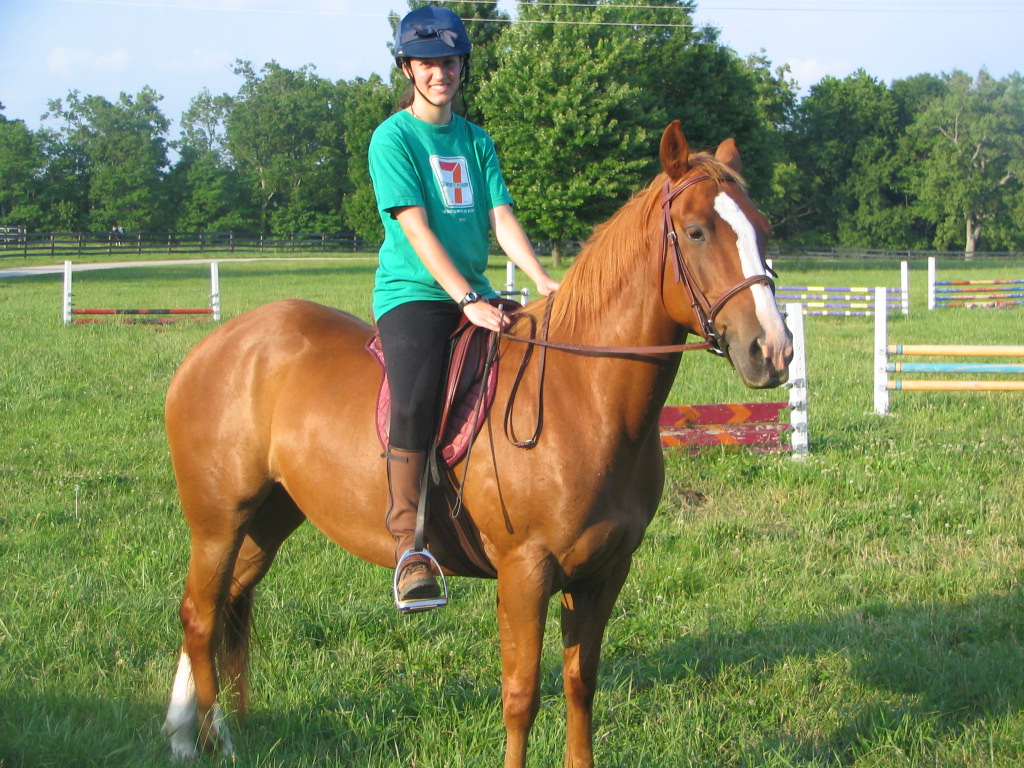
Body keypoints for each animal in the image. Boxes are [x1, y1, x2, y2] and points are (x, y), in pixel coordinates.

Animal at [160, 121, 792, 767]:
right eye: (695, 231)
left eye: (763, 229)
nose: (773, 350)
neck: (581, 395)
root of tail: (216, 345)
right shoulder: (525, 572)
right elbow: (521, 696)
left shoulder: (602, 572)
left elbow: (580, 684)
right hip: (218, 522)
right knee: (200, 615)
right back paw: (205, 740)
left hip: (269, 517)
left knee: (221, 605)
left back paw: (186, 732)